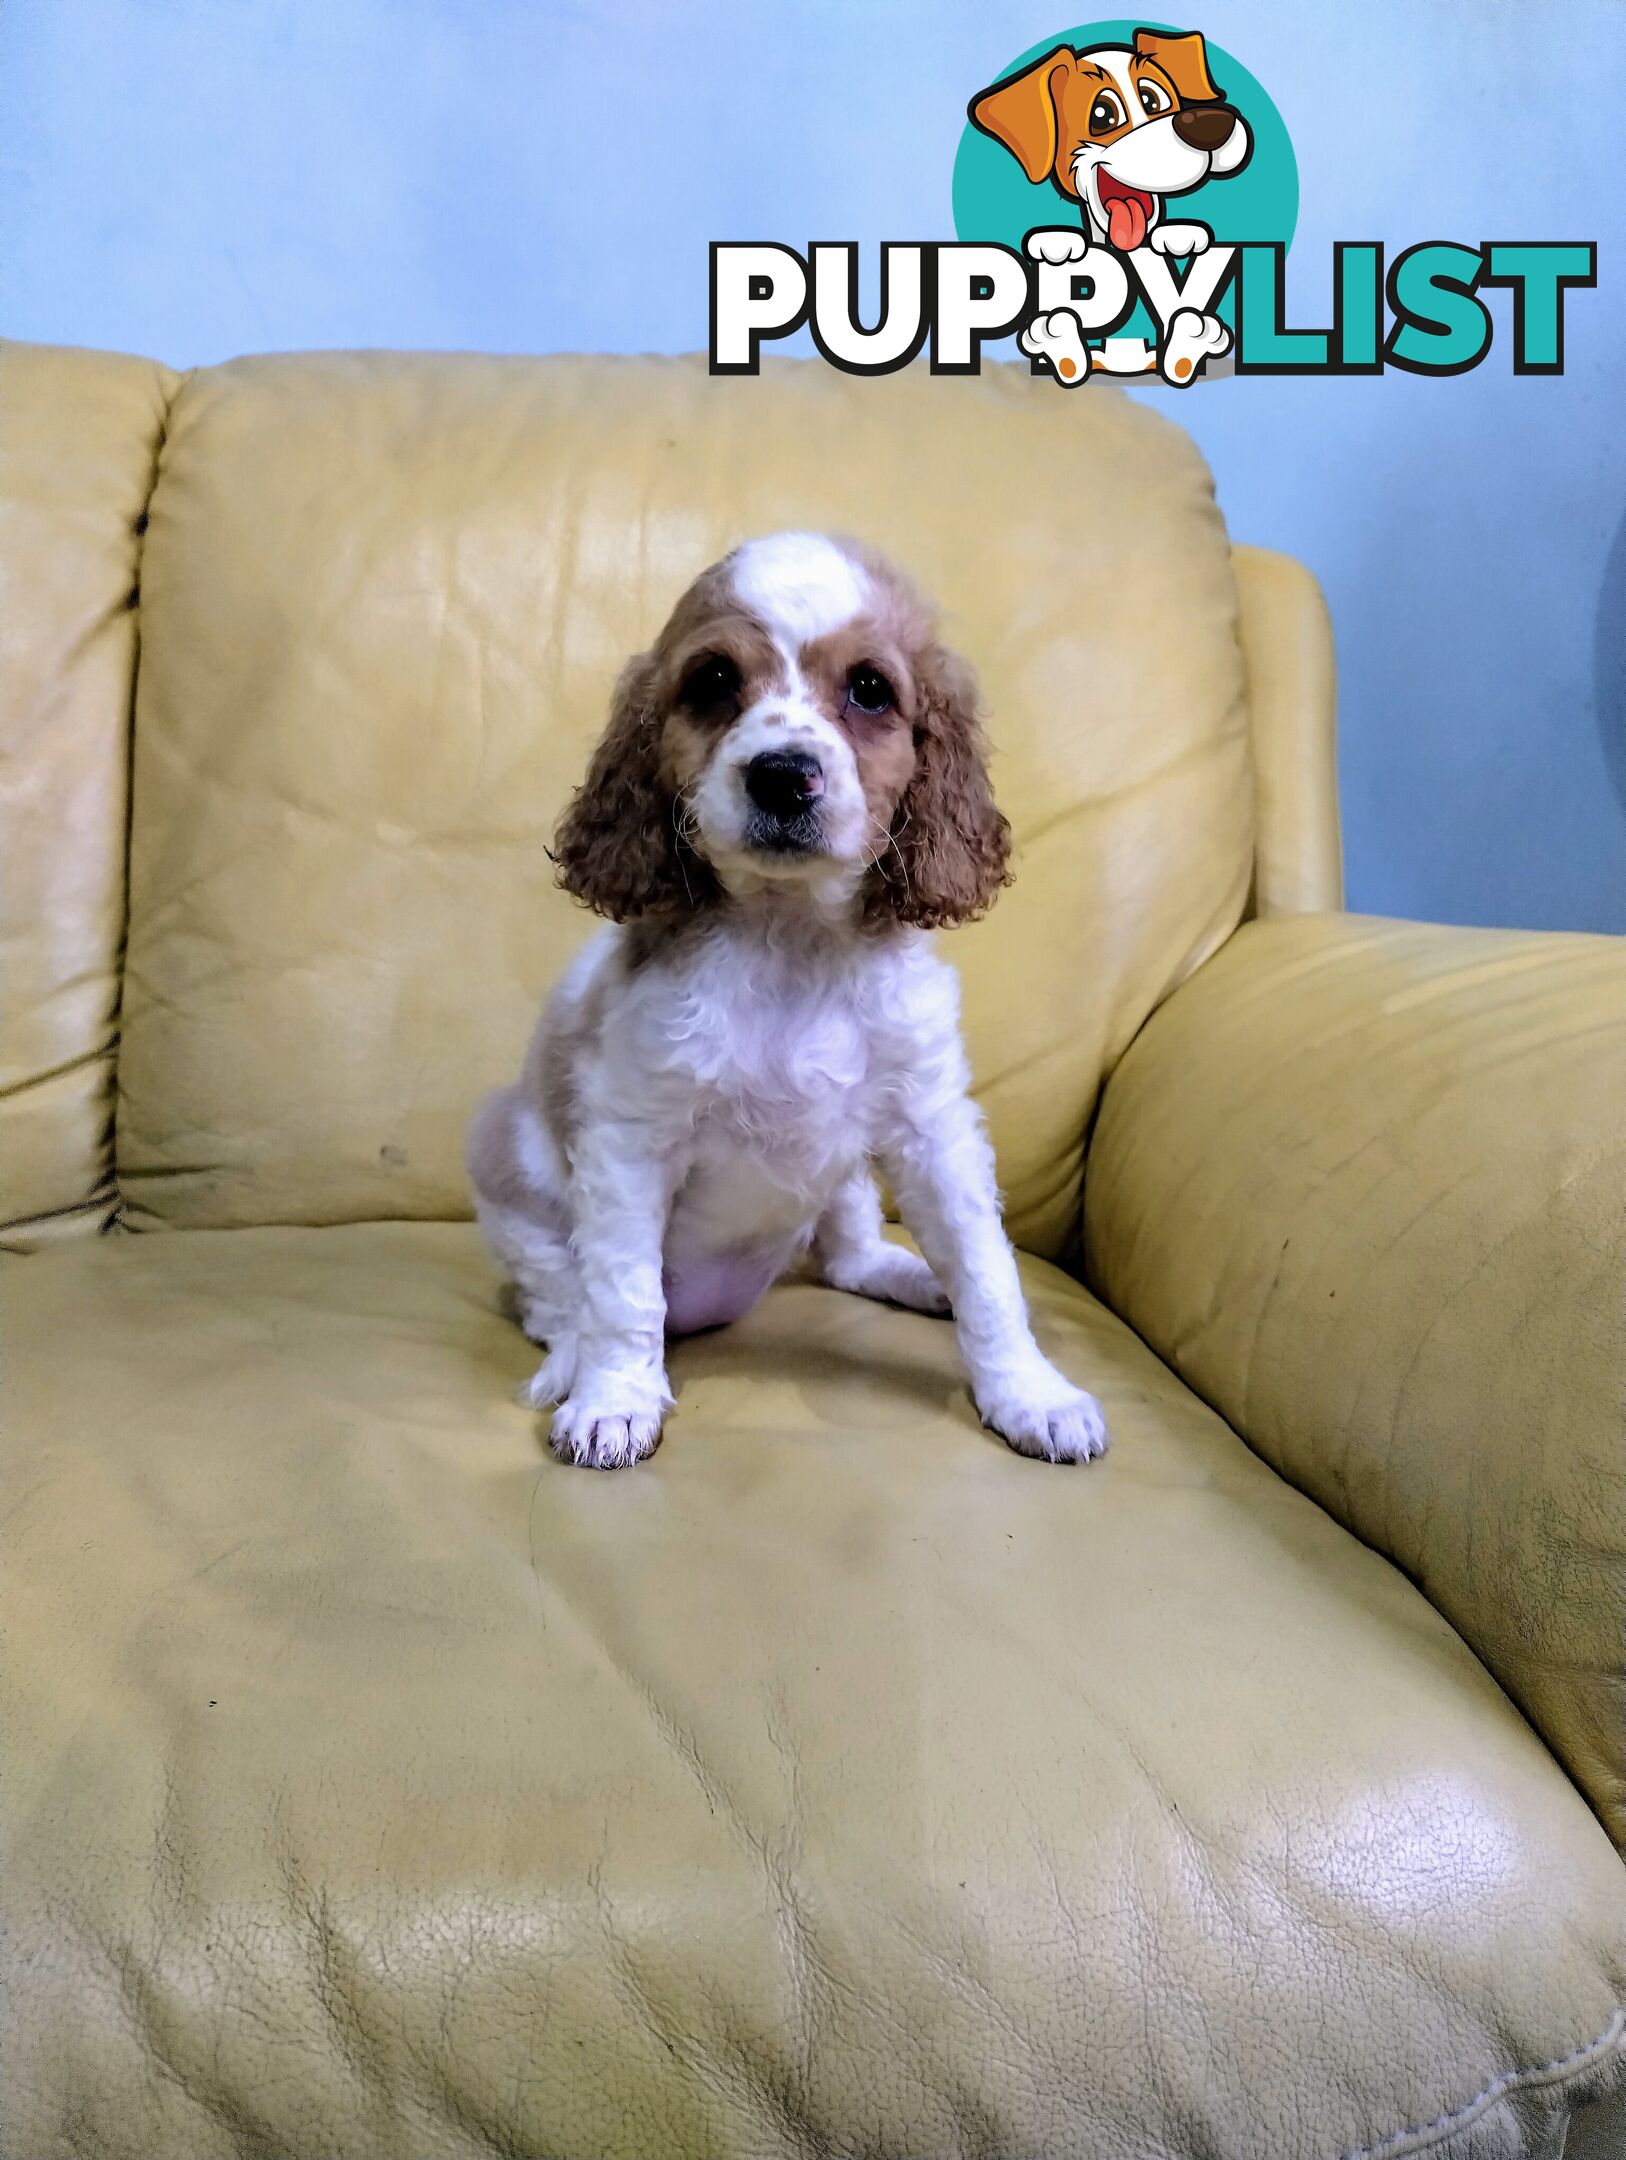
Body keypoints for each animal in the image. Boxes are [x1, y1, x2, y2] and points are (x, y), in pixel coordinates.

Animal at [462, 529, 1114, 1468]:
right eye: (712, 682)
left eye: (871, 690)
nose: (781, 776)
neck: (790, 938)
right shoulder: (631, 1140)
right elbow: (622, 1293)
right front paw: (615, 1401)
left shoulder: (932, 1130)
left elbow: (989, 1272)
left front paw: (1031, 1393)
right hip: (506, 1167)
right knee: (558, 1297)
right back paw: (577, 1361)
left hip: (846, 1171)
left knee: (847, 1255)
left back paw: (914, 1275)